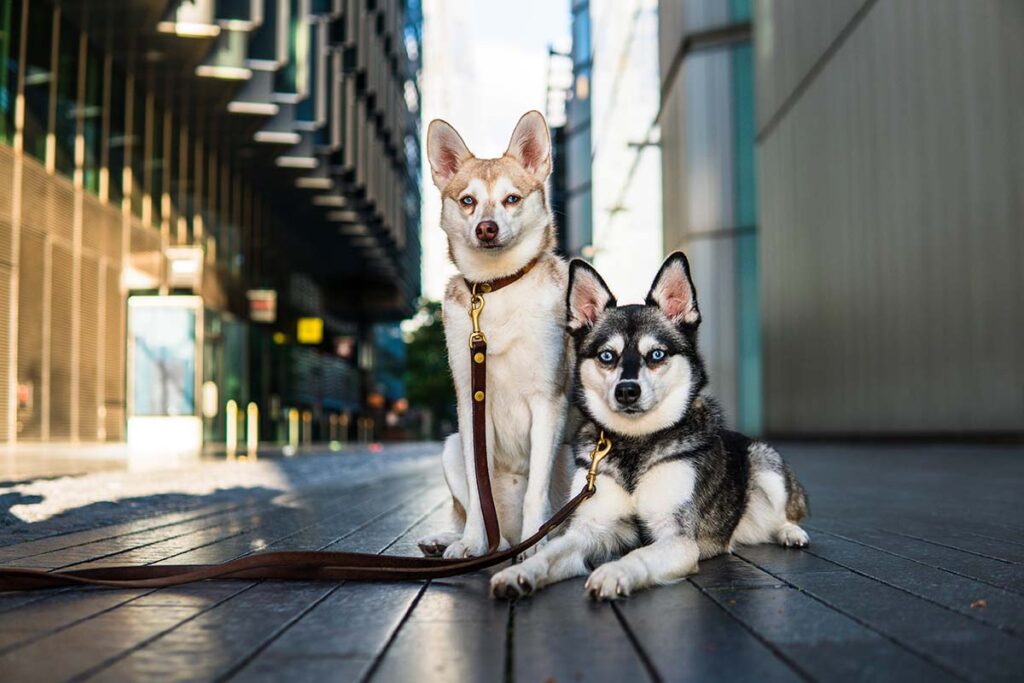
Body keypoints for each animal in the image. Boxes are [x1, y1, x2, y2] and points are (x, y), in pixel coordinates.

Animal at [417, 112, 577, 561]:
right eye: (467, 201)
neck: (499, 286)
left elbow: (536, 491)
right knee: (482, 514)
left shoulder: (547, 401)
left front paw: (535, 544)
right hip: (451, 445)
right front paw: (472, 542)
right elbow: (477, 488)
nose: (486, 228)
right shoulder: (470, 408)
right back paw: (457, 539)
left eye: (512, 199)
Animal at [491, 253, 811, 602]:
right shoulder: (588, 528)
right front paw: (518, 572)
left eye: (656, 354)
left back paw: (791, 532)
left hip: (766, 464)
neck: (635, 444)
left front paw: (614, 572)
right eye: (607, 356)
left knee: (786, 513)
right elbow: (550, 554)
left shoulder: (677, 538)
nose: (627, 391)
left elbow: (639, 554)